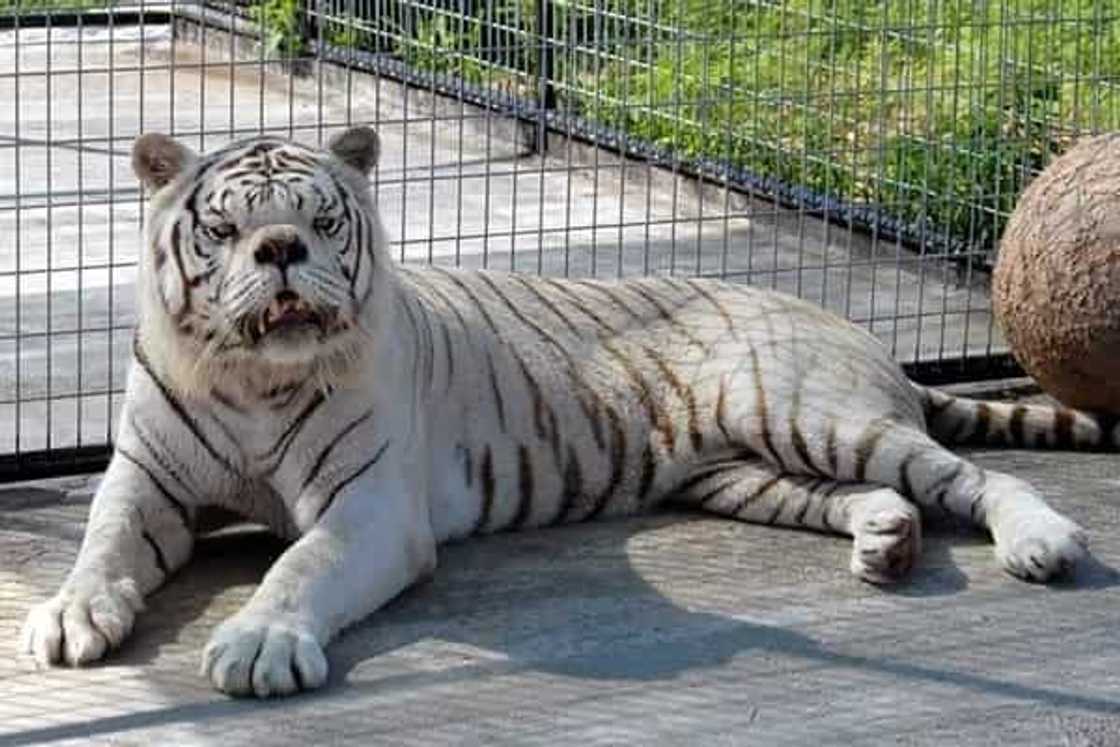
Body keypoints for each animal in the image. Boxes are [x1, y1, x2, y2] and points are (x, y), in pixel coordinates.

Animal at [17, 127, 1102, 694]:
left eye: (322, 221)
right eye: (225, 228)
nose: (282, 250)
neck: (251, 377)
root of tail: (849, 325)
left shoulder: (370, 509)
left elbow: (298, 566)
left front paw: (259, 643)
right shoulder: (146, 481)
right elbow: (103, 545)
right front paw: (68, 613)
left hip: (812, 412)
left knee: (976, 478)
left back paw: (1040, 542)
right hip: (747, 471)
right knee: (876, 496)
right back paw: (885, 543)